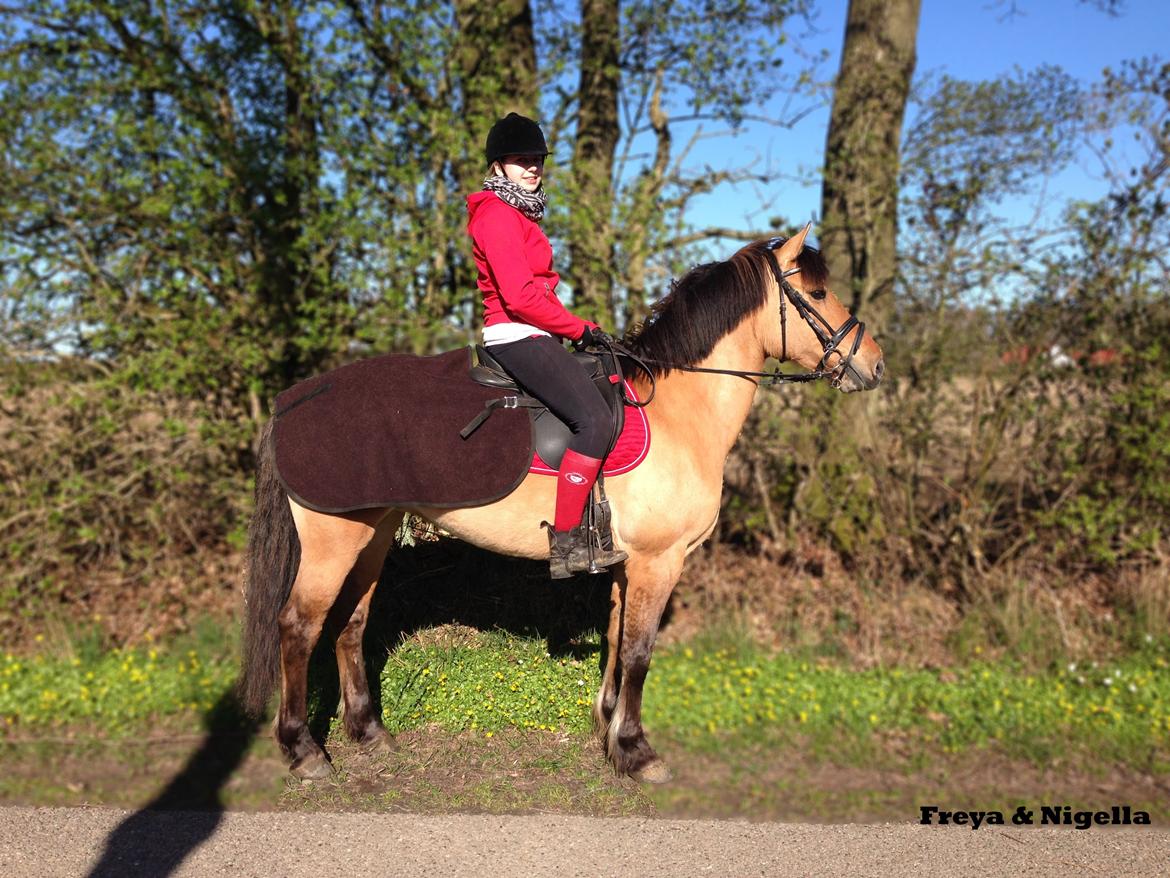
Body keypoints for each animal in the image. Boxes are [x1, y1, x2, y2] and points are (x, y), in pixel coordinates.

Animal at [237, 224, 879, 782]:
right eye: (817, 292)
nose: (873, 363)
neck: (679, 410)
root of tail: (293, 400)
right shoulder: (659, 561)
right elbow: (640, 652)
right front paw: (637, 752)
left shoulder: (628, 564)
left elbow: (618, 639)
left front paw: (607, 729)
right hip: (333, 541)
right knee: (298, 626)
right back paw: (304, 751)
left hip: (371, 535)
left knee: (351, 622)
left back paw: (369, 733)